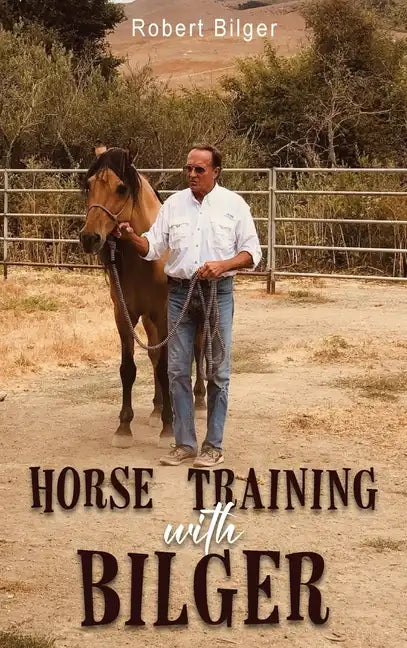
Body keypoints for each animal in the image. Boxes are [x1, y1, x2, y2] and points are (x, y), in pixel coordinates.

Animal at [79, 147, 206, 448]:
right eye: (88, 186)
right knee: (155, 354)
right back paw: (158, 408)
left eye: (121, 188)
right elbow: (130, 368)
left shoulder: (164, 313)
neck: (146, 258)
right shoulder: (124, 315)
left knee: (197, 350)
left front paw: (169, 427)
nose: (89, 238)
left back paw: (198, 402)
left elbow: (166, 366)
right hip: (149, 321)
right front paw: (124, 427)